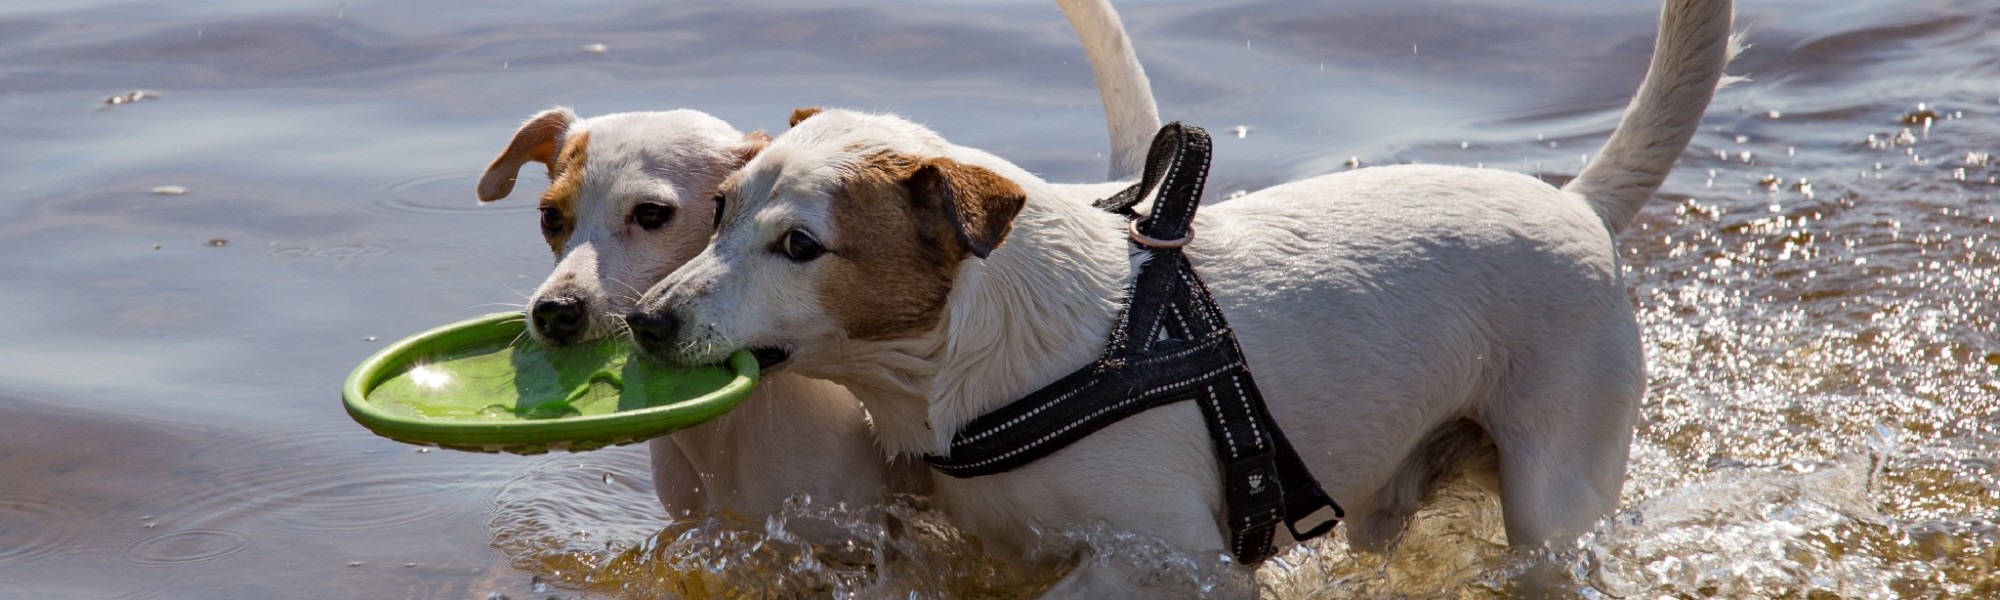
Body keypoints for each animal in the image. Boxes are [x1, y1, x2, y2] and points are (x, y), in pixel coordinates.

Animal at [624, 0, 1736, 592]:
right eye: (717, 209)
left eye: (801, 245)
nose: (643, 321)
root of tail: (1577, 205)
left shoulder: (1176, 560)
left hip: (1555, 489)